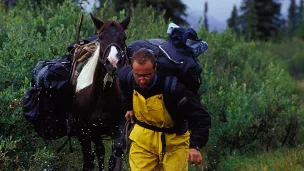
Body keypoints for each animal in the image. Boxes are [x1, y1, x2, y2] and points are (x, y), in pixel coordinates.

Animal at [71, 13, 131, 171]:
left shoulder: (119, 125)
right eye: (101, 37)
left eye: (124, 37)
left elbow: (116, 151)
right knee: (88, 155)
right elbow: (100, 151)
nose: (113, 63)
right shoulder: (92, 129)